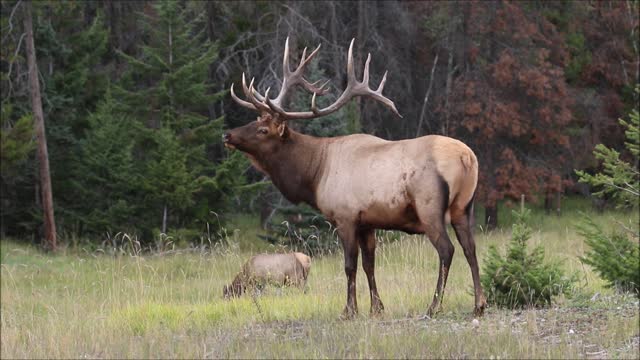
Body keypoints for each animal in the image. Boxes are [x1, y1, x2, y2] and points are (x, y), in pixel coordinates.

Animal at [224, 37, 484, 318]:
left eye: (263, 129)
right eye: (254, 120)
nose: (227, 134)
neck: (315, 174)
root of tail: (467, 157)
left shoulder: (345, 216)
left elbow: (350, 265)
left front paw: (349, 310)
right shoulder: (367, 222)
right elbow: (370, 265)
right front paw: (377, 308)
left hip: (430, 207)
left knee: (447, 250)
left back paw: (434, 305)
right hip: (463, 206)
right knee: (470, 247)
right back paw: (479, 304)